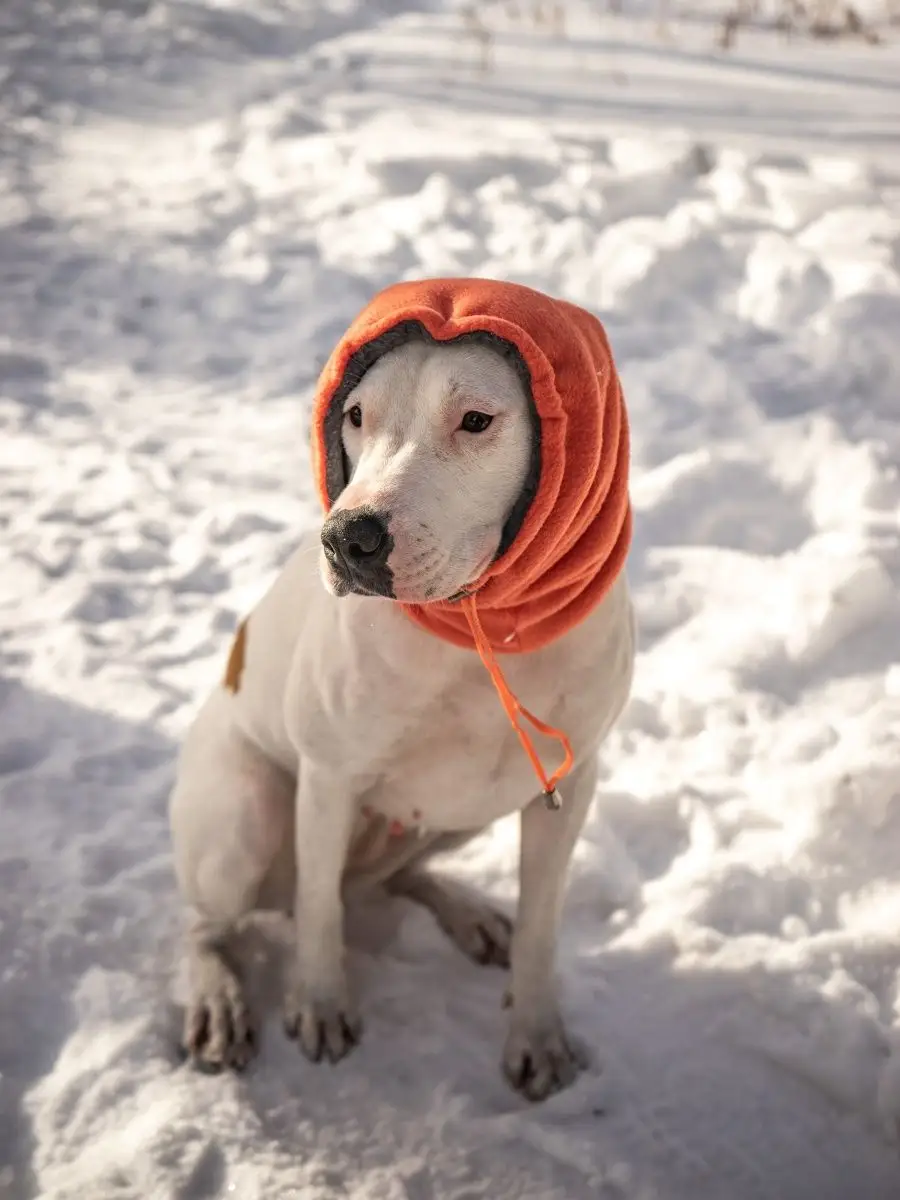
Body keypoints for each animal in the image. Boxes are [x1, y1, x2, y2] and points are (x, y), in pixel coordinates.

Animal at [169, 276, 633, 1099]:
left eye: (476, 420)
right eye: (356, 416)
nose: (347, 537)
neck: (475, 634)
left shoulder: (566, 785)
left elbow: (543, 924)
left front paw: (537, 1035)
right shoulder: (327, 776)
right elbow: (318, 910)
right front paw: (319, 1004)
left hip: (466, 808)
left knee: (394, 879)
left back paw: (466, 912)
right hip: (246, 813)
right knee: (208, 924)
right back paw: (219, 1001)